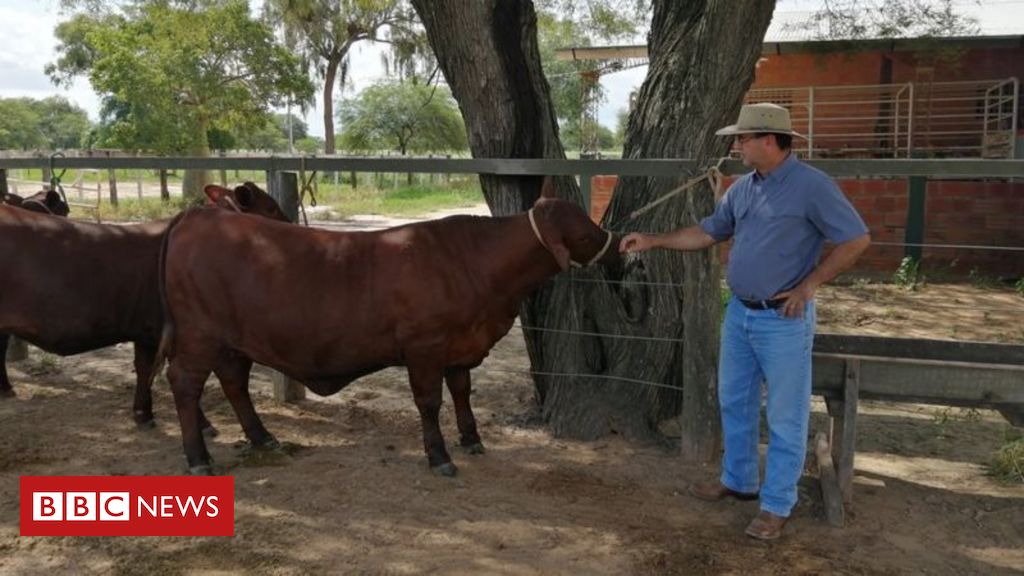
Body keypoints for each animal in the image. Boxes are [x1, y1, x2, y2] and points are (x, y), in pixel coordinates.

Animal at [150, 177, 614, 473]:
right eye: (585, 234)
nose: (615, 248)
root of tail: (195, 217)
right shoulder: (425, 347)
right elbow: (429, 401)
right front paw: (439, 457)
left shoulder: (460, 346)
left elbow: (462, 392)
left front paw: (472, 439)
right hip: (199, 337)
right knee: (186, 384)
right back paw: (198, 458)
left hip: (231, 341)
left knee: (233, 381)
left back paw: (263, 437)